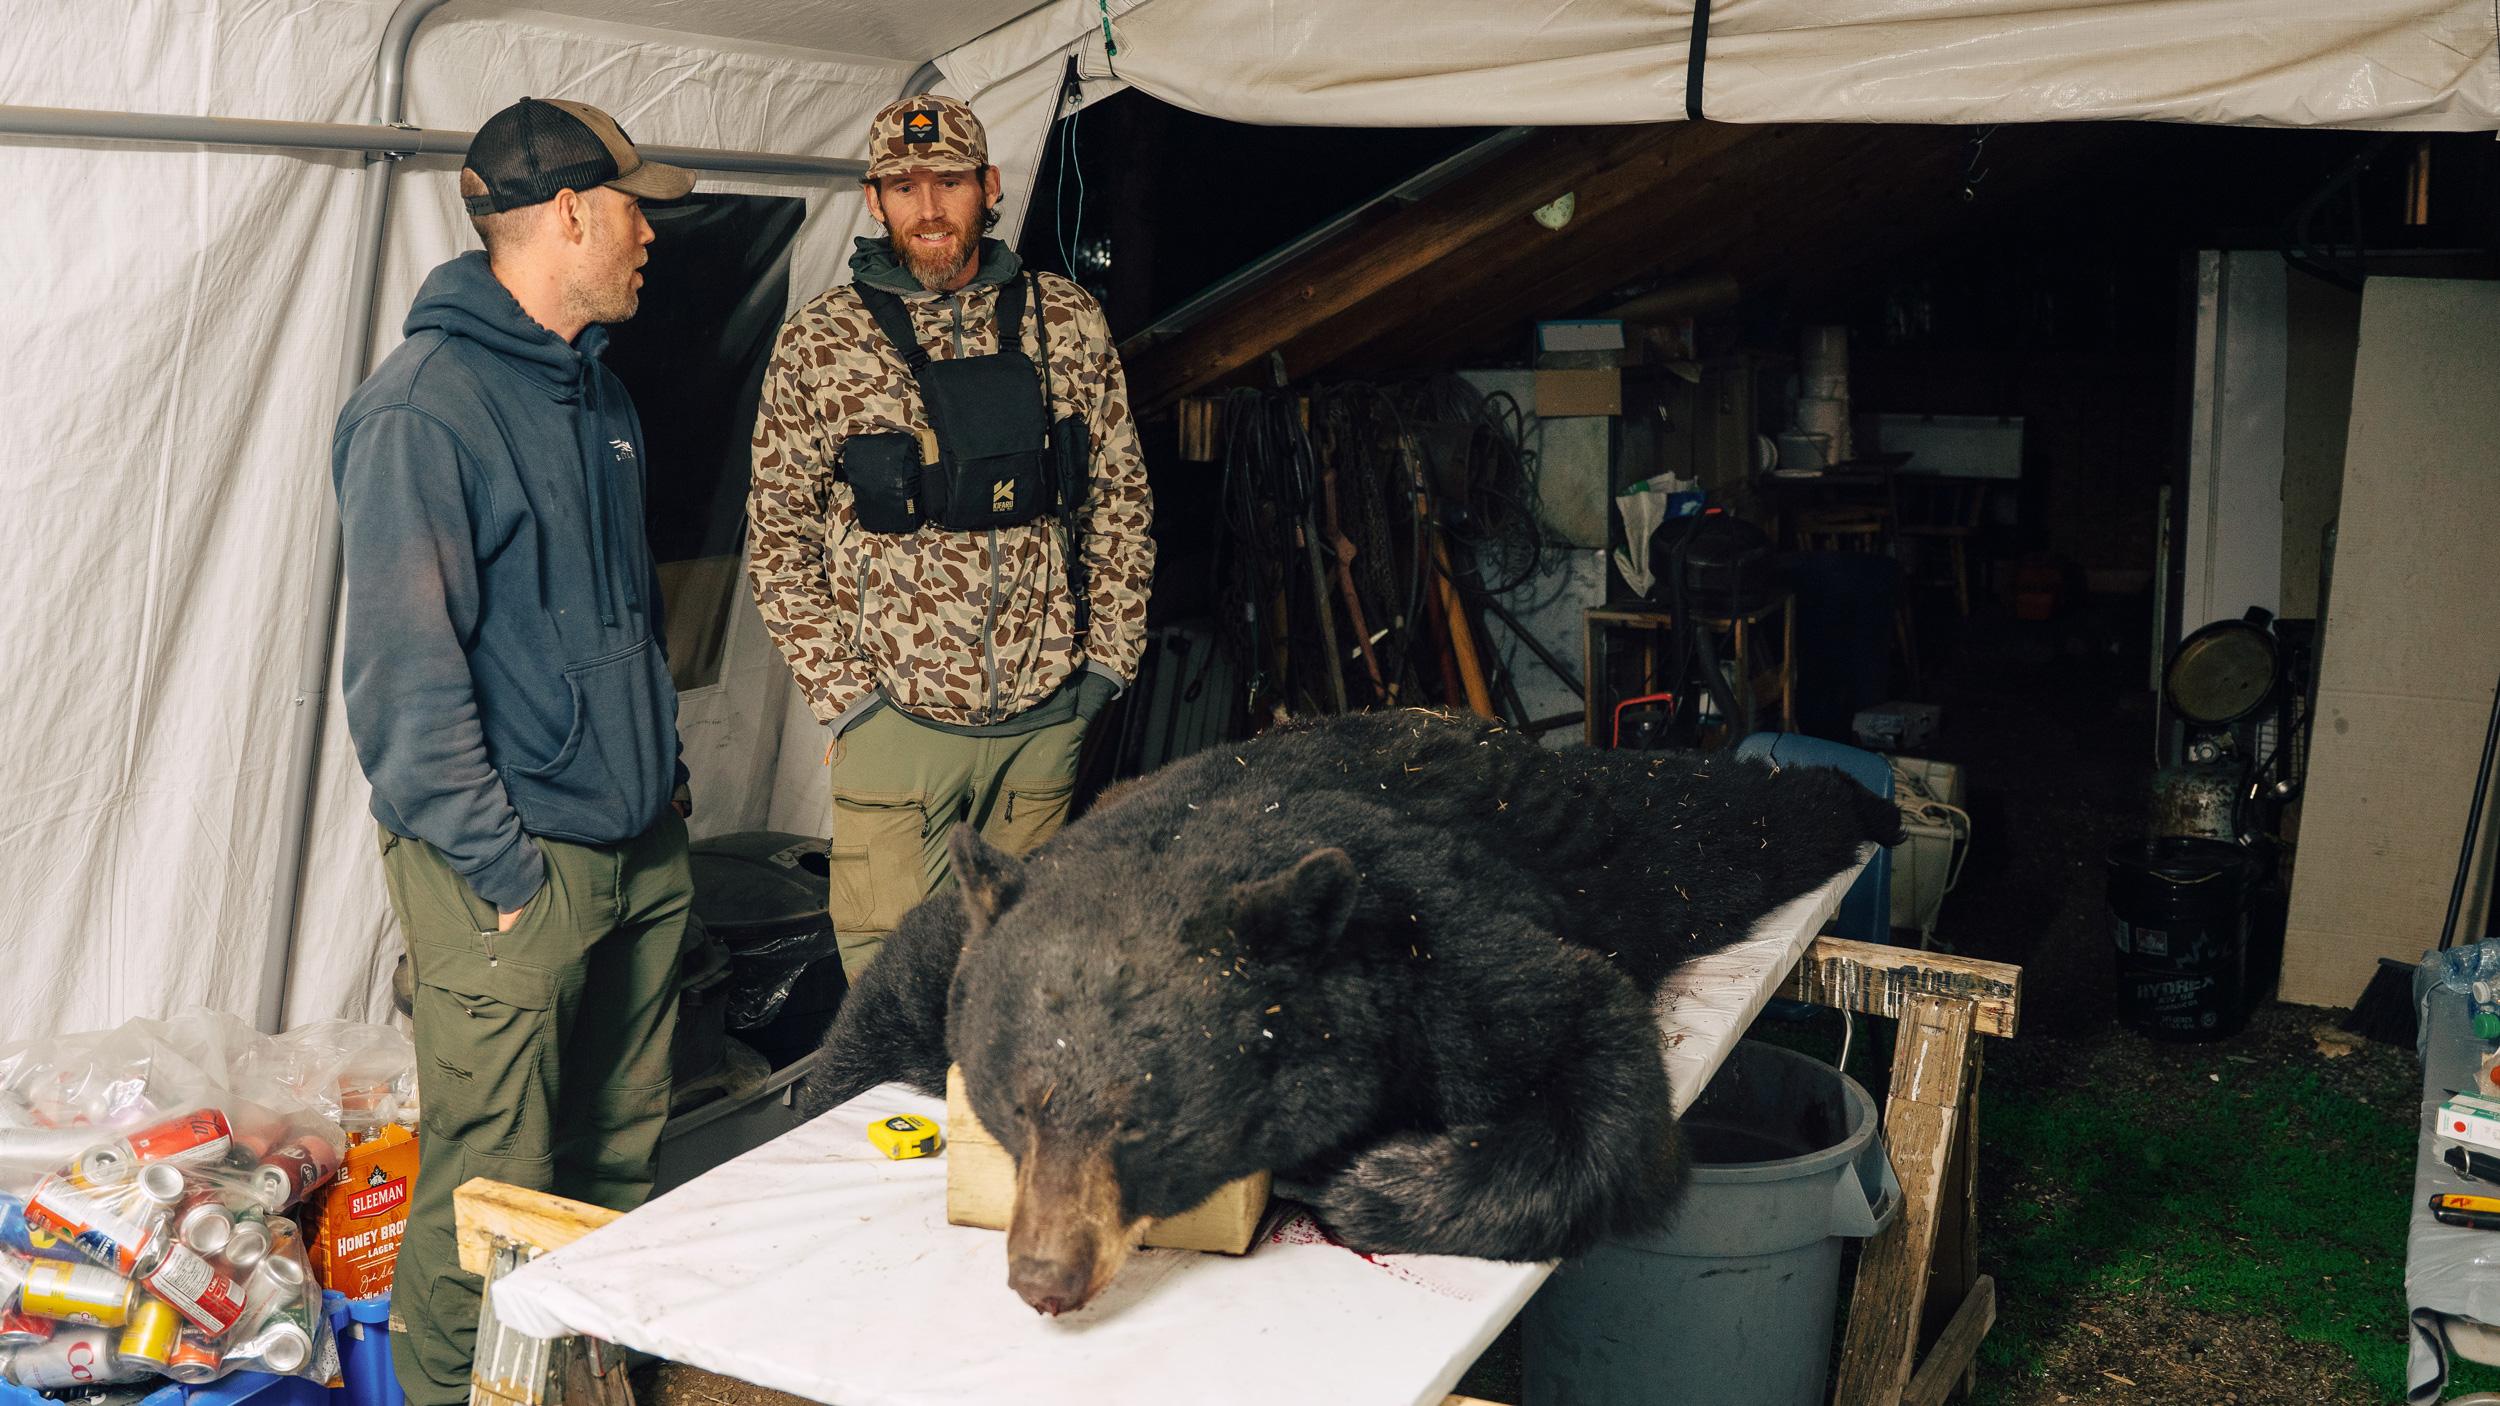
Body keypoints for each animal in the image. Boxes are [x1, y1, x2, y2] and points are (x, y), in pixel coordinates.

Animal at [798, 709, 1900, 1315]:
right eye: (1020, 1108)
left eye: (1146, 1122)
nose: (1045, 1276)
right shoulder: (972, 934)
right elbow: (872, 1015)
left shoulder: (1428, 940)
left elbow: (1594, 1050)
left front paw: (1368, 1176)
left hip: (1622, 844)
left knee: (1722, 816)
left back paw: (1864, 799)